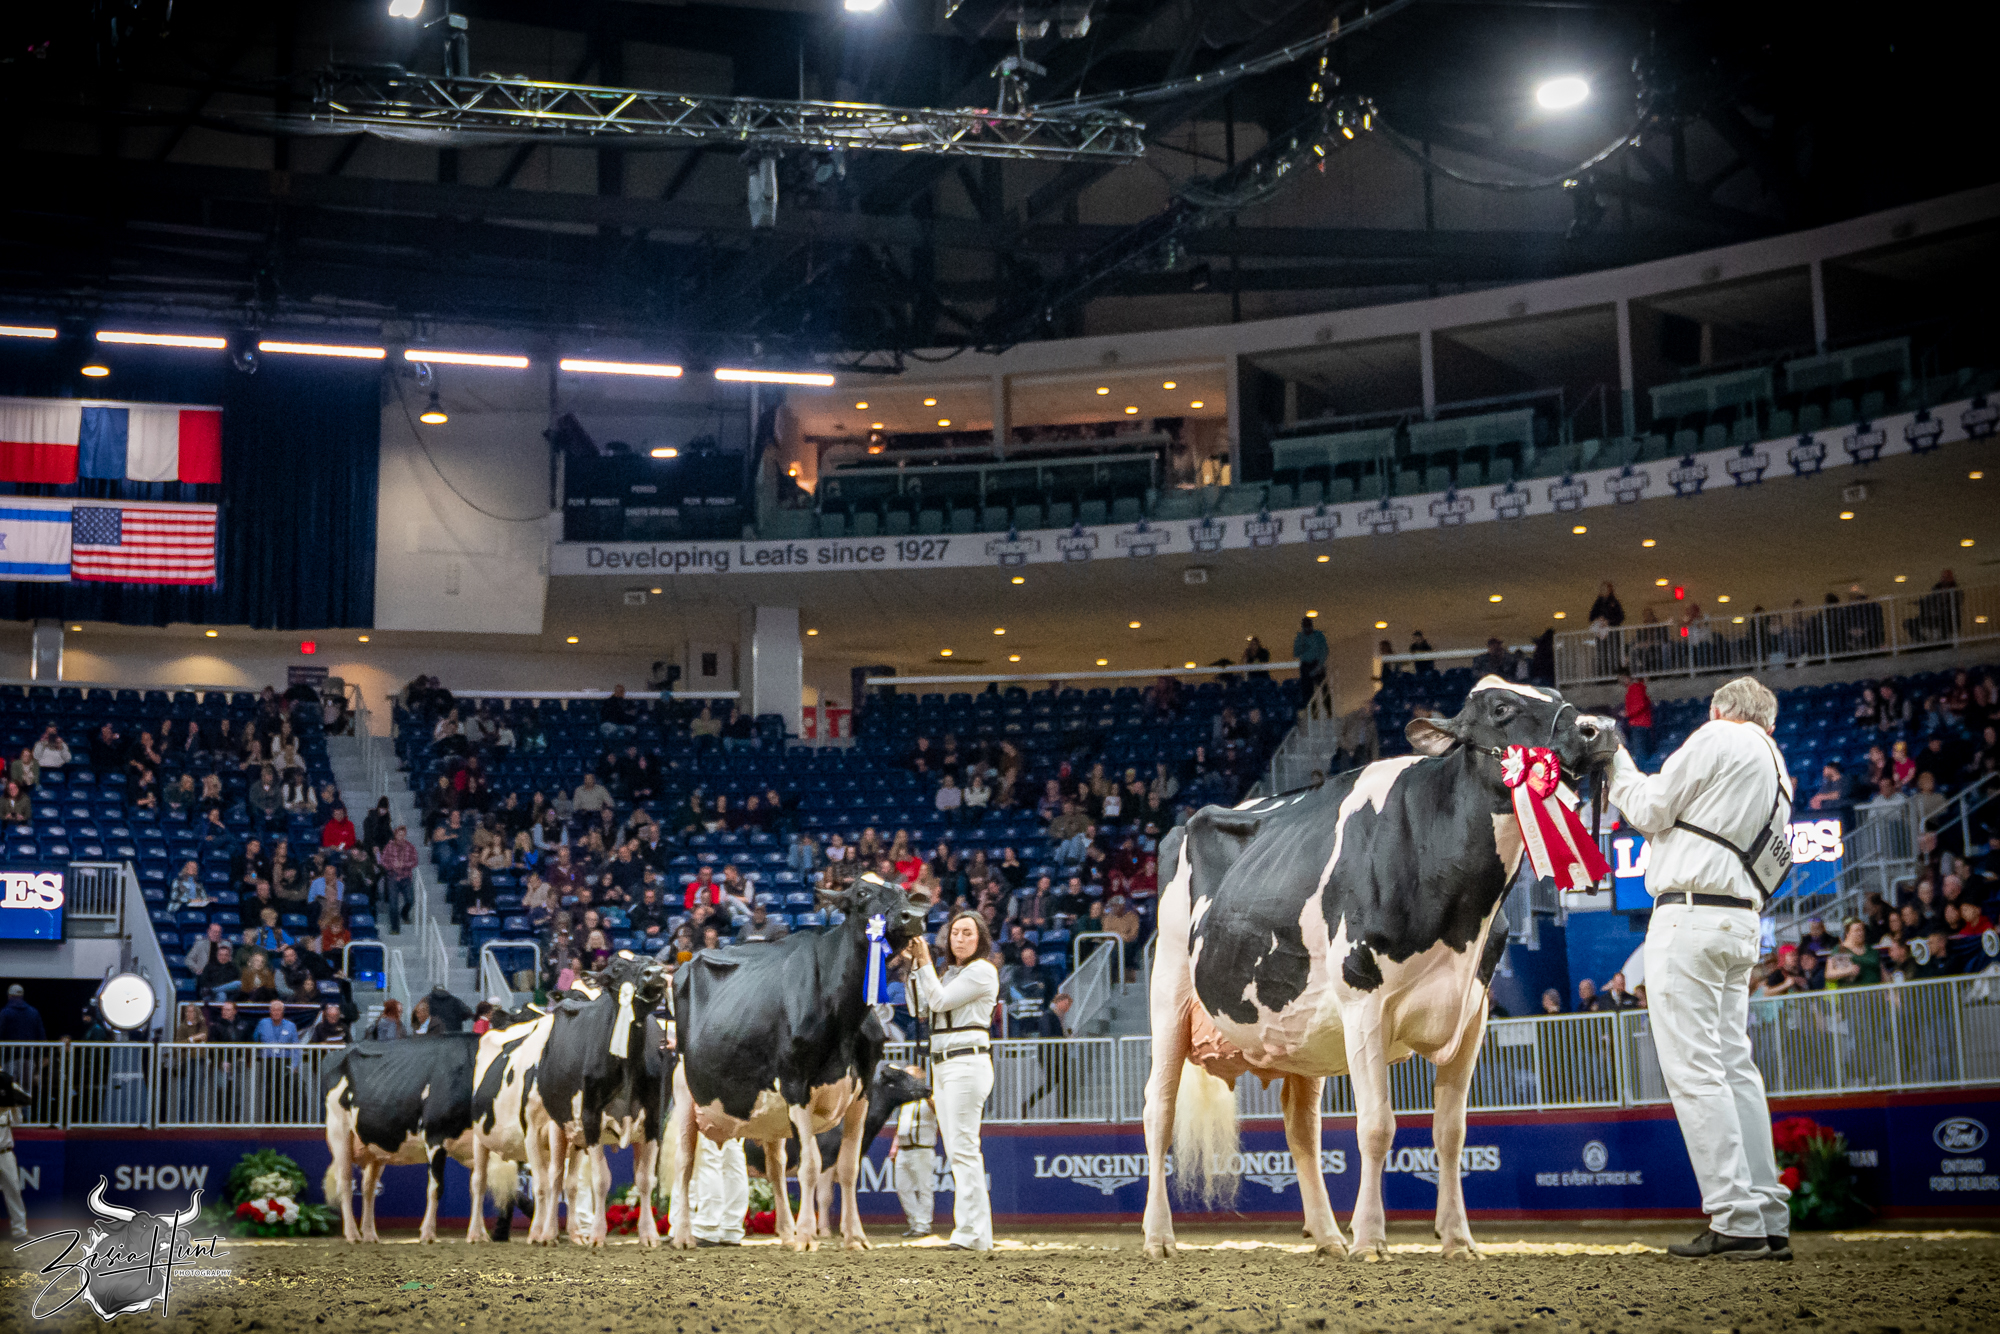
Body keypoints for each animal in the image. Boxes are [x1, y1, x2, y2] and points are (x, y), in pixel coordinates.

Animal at [320, 1031, 521, 1243]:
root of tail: (338, 1052)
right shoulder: (434, 1137)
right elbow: (436, 1187)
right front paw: (428, 1233)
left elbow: (478, 1184)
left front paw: (479, 1233)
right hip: (339, 1131)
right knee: (345, 1182)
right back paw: (352, 1234)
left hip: (377, 1147)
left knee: (368, 1188)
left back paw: (369, 1234)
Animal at [468, 952, 671, 1246]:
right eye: (617, 969)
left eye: (653, 960)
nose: (654, 973)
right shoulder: (583, 1120)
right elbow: (597, 1180)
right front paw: (595, 1235)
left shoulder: (654, 1120)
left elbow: (645, 1180)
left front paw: (649, 1235)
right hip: (485, 1135)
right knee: (483, 1180)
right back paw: (486, 1233)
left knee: (566, 1182)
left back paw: (567, 1233)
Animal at [1140, 677, 1617, 1262]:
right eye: (1501, 708)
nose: (1599, 728)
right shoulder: (1364, 1000)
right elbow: (1376, 1126)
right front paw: (1370, 1238)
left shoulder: (1473, 1011)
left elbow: (1451, 1132)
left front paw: (1457, 1238)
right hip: (1169, 994)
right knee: (1158, 1111)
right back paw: (1159, 1236)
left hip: (1298, 1030)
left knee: (1302, 1127)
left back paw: (1326, 1237)